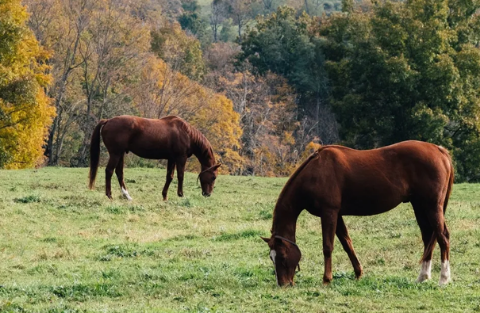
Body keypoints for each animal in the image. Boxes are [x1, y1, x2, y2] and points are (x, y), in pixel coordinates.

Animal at [88, 114, 221, 200]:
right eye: (213, 177)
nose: (207, 194)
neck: (186, 133)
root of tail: (108, 121)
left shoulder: (171, 158)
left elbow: (169, 177)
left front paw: (164, 196)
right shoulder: (180, 158)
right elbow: (180, 176)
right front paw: (181, 194)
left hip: (120, 154)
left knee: (119, 173)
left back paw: (127, 196)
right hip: (115, 154)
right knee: (109, 171)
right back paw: (109, 195)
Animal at [262, 140, 454, 286]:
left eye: (282, 256)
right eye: (271, 258)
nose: (283, 284)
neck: (316, 172)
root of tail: (440, 150)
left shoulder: (329, 212)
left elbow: (328, 246)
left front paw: (326, 279)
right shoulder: (337, 215)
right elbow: (347, 244)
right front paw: (358, 273)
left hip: (432, 206)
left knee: (443, 237)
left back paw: (444, 279)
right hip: (420, 206)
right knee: (428, 237)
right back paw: (423, 277)